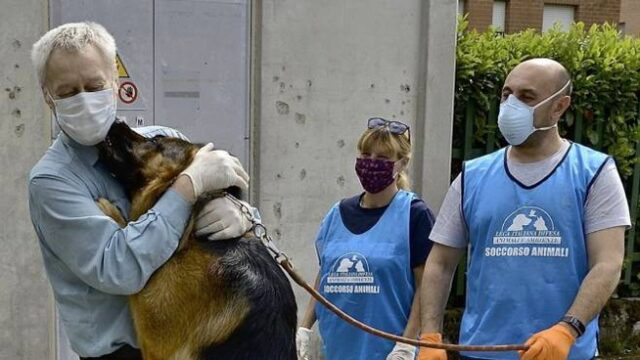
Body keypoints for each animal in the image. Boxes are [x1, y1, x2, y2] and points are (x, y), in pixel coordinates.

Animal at [94, 121, 298, 360]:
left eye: (156, 140)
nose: (117, 122)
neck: (197, 238)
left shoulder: (154, 340)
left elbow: (129, 232)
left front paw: (110, 212)